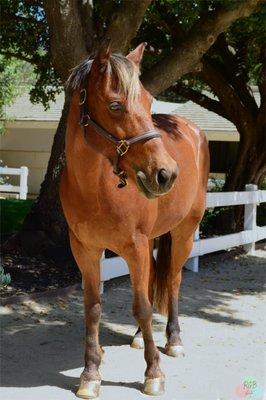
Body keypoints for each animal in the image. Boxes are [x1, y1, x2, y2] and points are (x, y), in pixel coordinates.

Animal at [60, 41, 210, 400]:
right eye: (115, 105)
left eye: (149, 101)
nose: (166, 174)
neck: (96, 188)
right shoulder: (85, 250)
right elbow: (93, 307)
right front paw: (90, 373)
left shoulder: (135, 247)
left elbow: (141, 305)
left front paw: (153, 372)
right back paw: (143, 338)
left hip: (184, 233)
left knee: (173, 281)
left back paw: (173, 340)